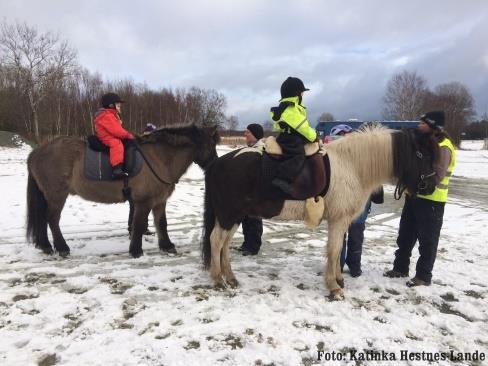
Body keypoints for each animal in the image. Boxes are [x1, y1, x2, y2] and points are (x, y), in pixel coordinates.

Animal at [26, 124, 217, 258]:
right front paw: (136, 250)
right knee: (52, 219)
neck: (159, 158)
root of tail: (37, 152)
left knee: (43, 218)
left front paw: (167, 246)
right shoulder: (143, 202)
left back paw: (46, 246)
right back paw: (62, 248)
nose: (214, 165)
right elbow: (138, 224)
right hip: (57, 195)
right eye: (210, 145)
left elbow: (161, 223)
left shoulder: (160, 200)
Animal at [200, 127, 436, 298]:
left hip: (234, 216)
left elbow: (338, 249)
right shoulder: (339, 220)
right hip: (229, 215)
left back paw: (230, 277)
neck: (351, 165)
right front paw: (334, 287)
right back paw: (218, 280)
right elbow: (334, 250)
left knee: (224, 244)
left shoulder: (341, 221)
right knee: (216, 241)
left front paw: (339, 279)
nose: (431, 186)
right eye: (421, 154)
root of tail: (219, 162)